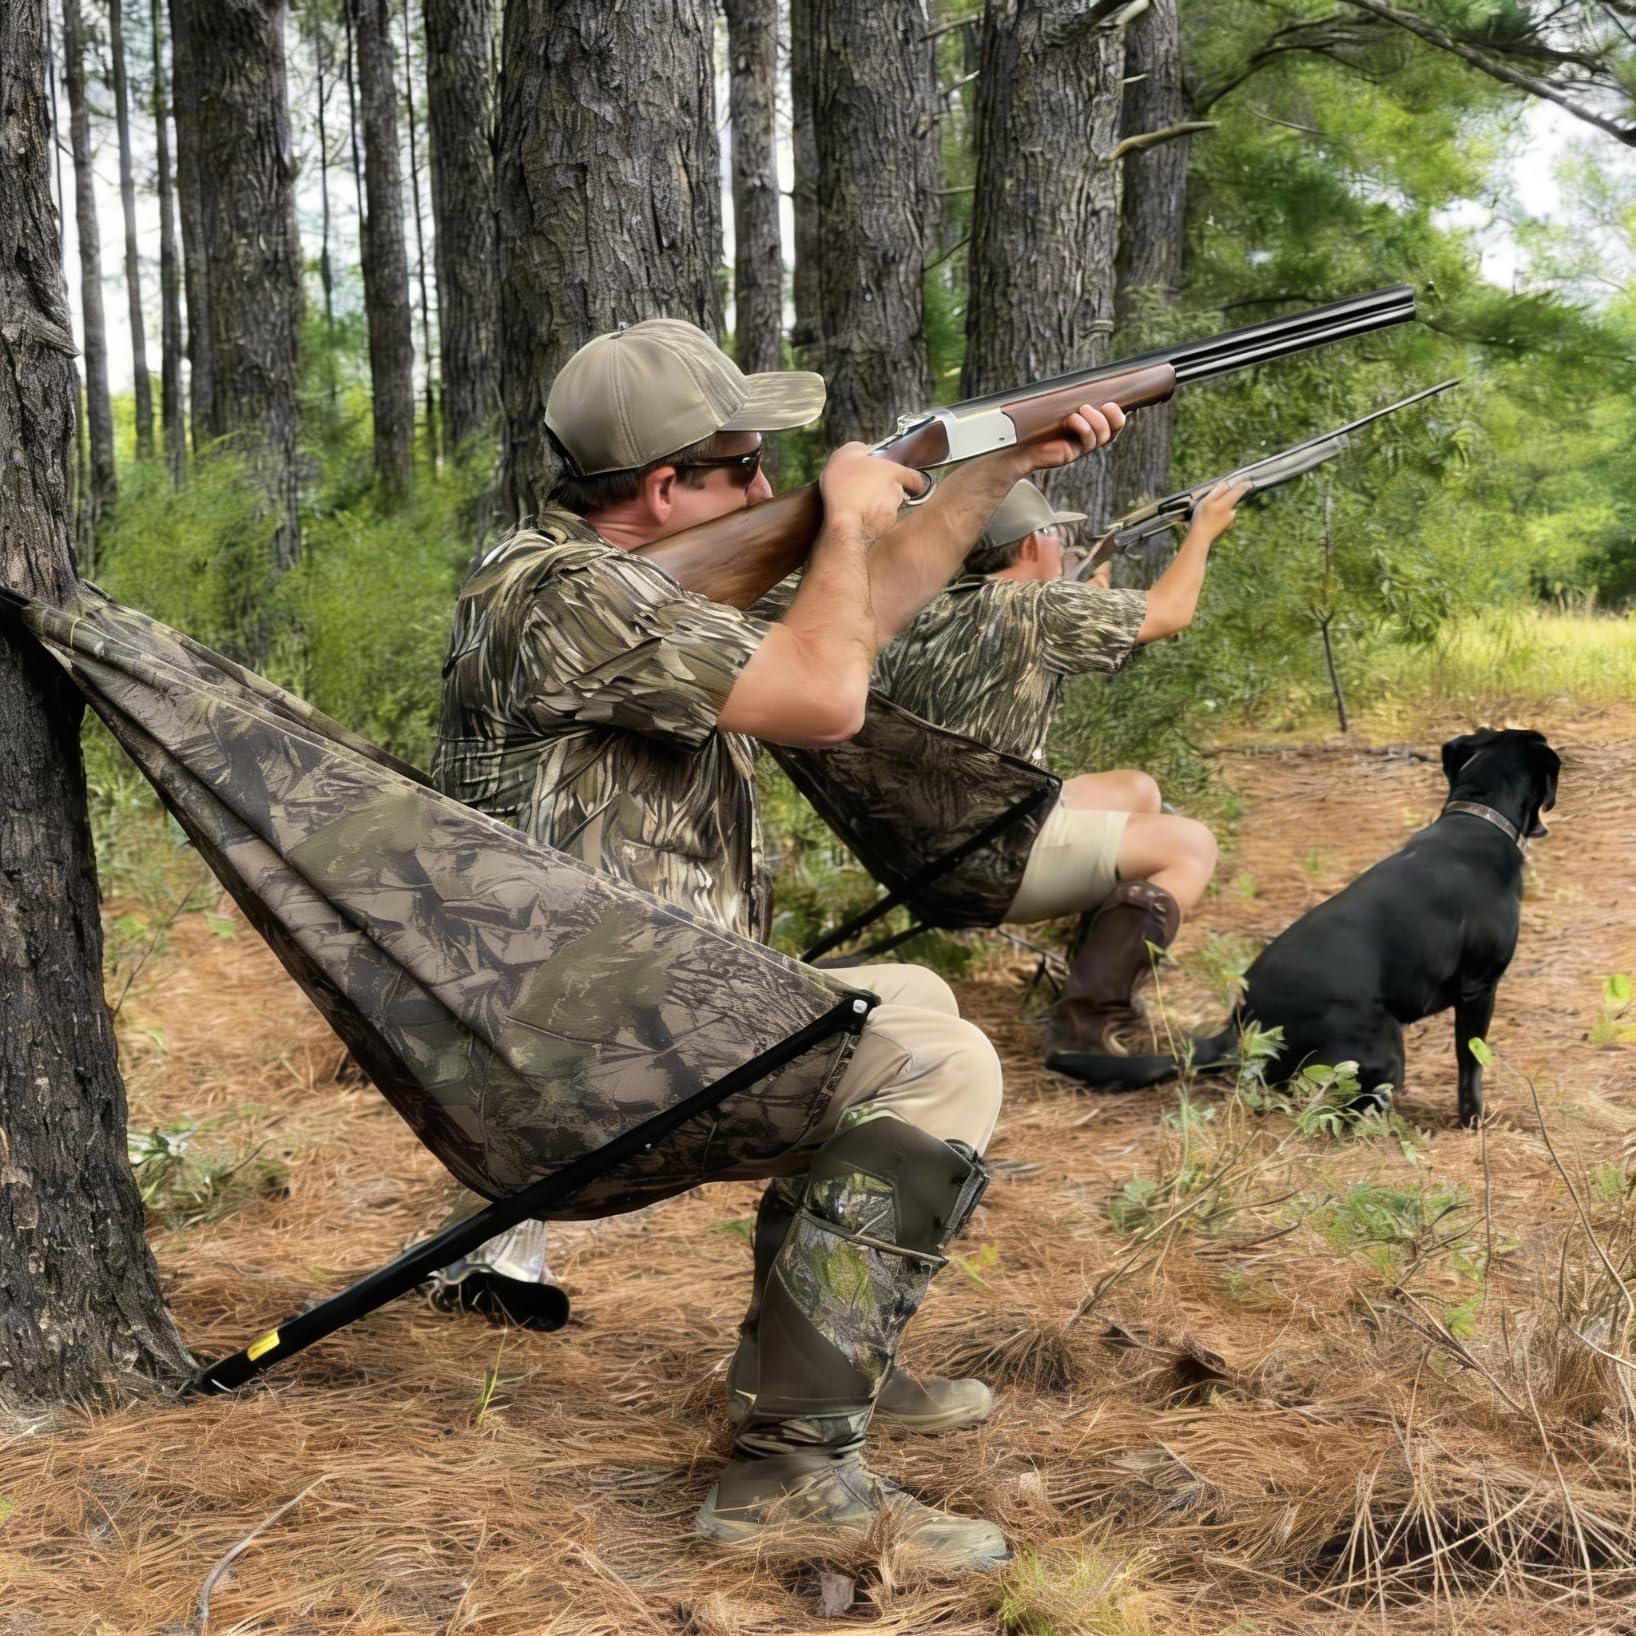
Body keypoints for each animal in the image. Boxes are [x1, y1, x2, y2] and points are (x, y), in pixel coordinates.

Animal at [1055, 728, 1559, 1126]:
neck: (1478, 817)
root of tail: (1241, 1028)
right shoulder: (1479, 989)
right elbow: (1470, 1064)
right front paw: (1475, 1120)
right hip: (1384, 1042)